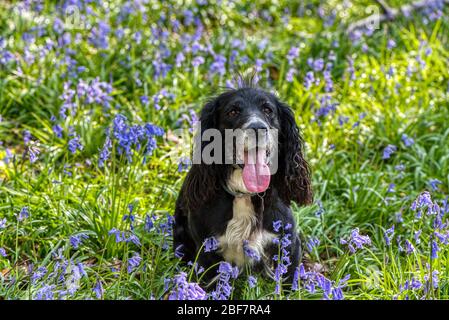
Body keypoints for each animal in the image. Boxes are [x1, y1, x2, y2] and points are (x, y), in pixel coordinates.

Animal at [172, 79, 312, 284]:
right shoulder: (206, 254)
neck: (245, 194)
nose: (258, 128)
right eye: (233, 111)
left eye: (268, 110)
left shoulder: (289, 245)